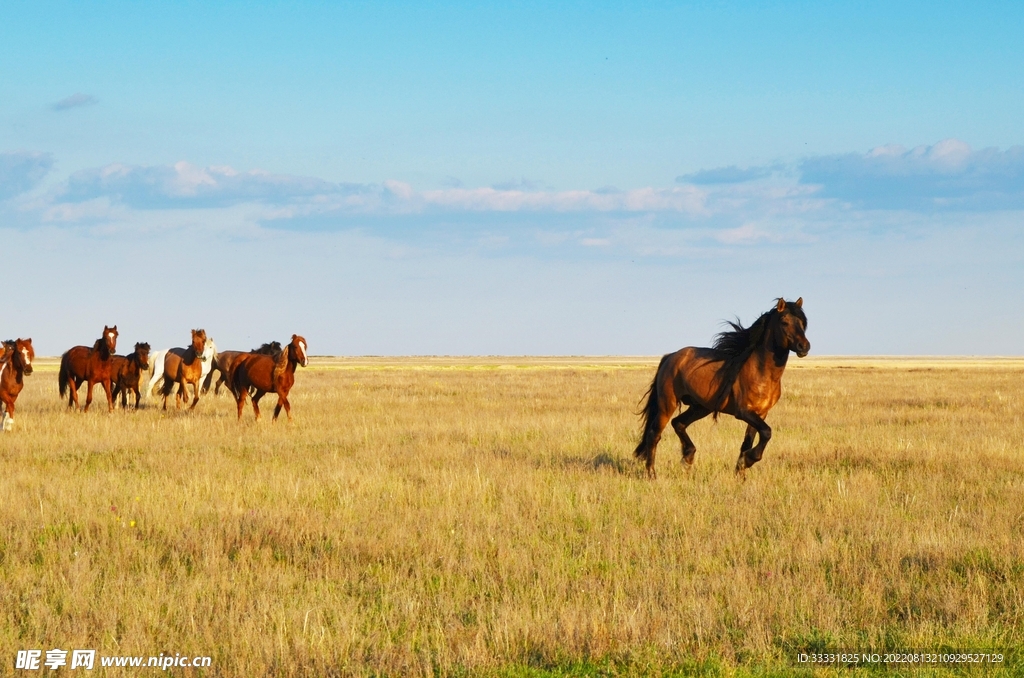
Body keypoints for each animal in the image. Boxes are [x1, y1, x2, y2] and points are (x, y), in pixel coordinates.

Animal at [634, 298, 809, 478]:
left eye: (803, 323)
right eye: (784, 322)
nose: (804, 347)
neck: (760, 371)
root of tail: (670, 357)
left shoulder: (761, 413)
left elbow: (748, 442)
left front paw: (740, 472)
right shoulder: (744, 412)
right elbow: (767, 432)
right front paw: (749, 460)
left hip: (701, 407)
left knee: (678, 423)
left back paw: (688, 458)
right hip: (667, 405)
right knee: (654, 434)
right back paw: (651, 474)